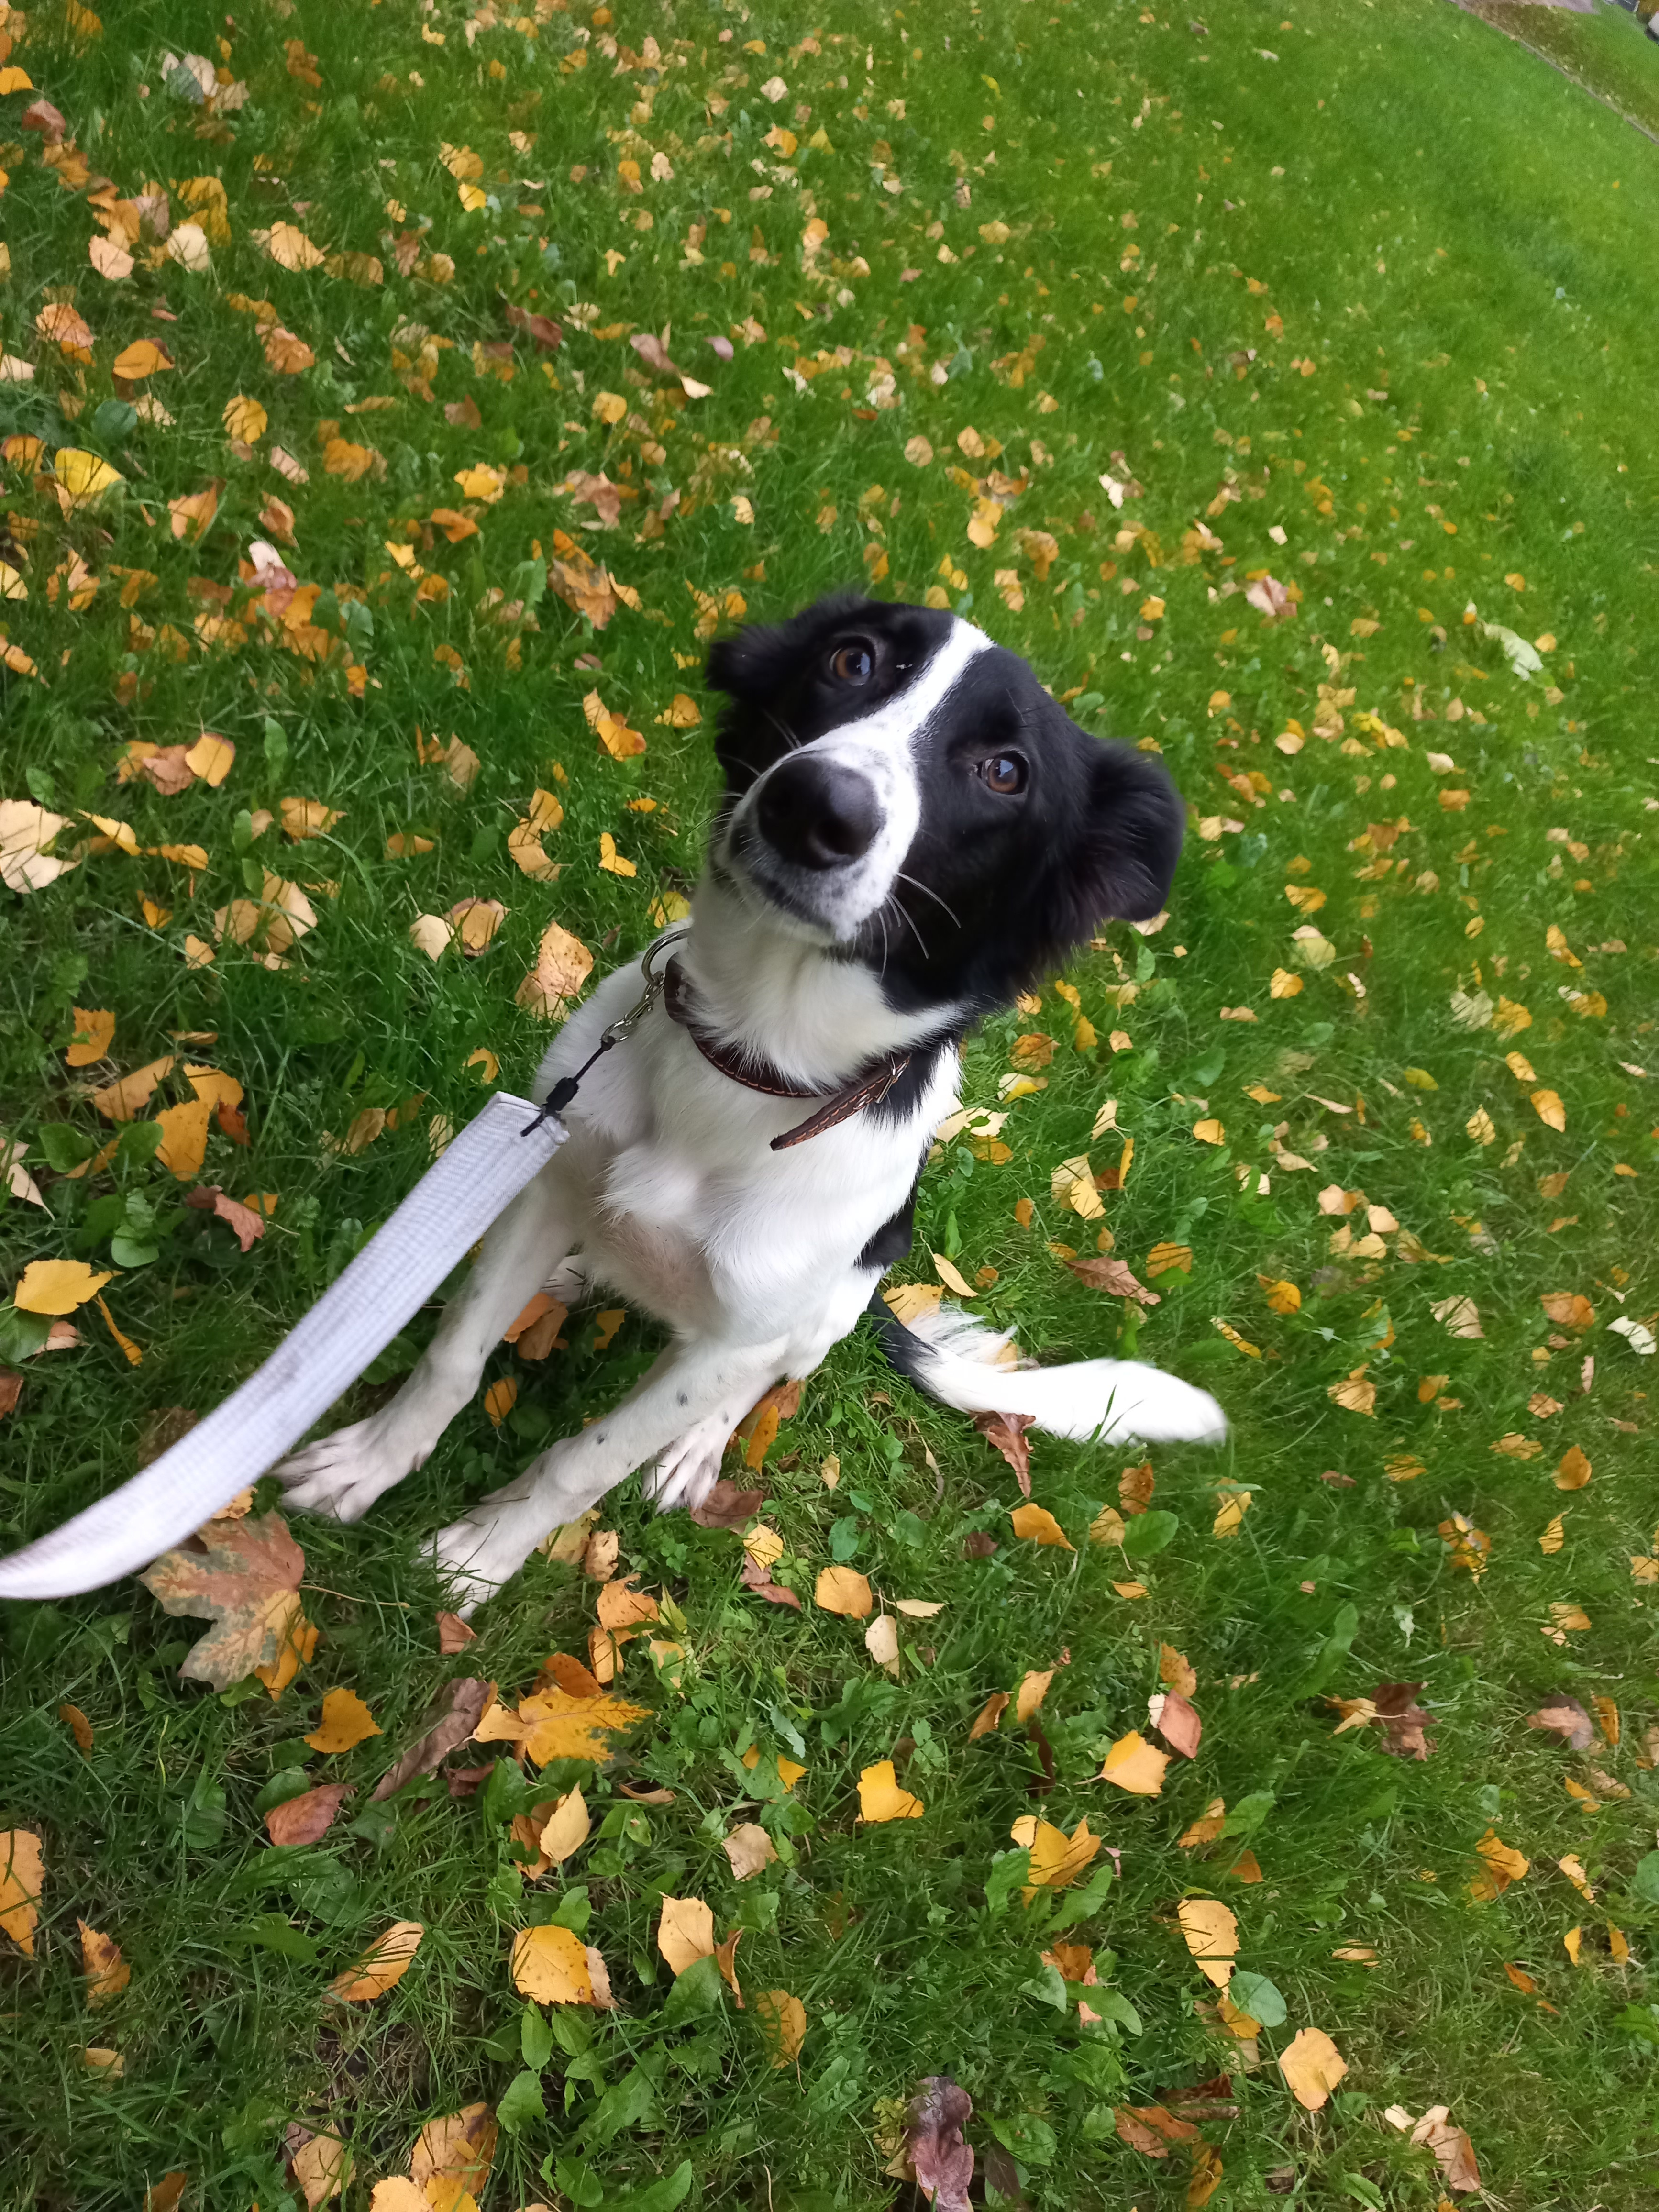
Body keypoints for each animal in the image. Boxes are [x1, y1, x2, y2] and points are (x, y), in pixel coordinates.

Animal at [271, 594, 1228, 1610]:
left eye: (1005, 771)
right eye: (852, 659)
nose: (814, 806)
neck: (745, 1062)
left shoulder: (739, 1331)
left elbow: (586, 1460)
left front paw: (481, 1553)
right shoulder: (547, 1168)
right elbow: (455, 1356)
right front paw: (369, 1464)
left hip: (832, 1305)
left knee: (756, 1382)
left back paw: (691, 1440)